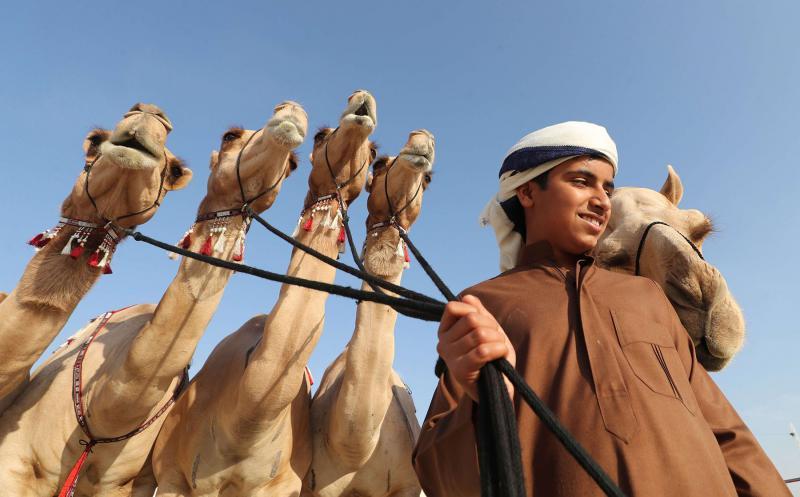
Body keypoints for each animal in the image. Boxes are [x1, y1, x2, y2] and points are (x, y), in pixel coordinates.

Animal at [152, 90, 378, 497]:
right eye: (229, 136)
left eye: (373, 151)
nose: (291, 110)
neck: (245, 421)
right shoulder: (175, 477)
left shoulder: (281, 485)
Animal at [303, 130, 435, 497]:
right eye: (379, 164)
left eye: (429, 180)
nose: (421, 139)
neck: (356, 444)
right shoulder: (318, 484)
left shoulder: (406, 486)